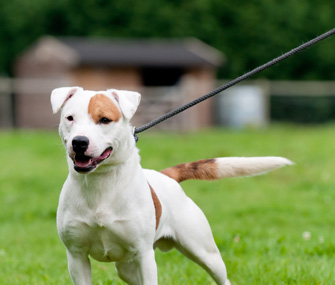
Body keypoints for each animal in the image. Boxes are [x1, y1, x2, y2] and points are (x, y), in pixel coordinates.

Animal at [51, 86, 292, 284]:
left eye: (104, 120)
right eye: (69, 118)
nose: (79, 142)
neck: (100, 183)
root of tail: (166, 175)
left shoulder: (144, 255)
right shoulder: (76, 257)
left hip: (205, 252)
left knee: (222, 277)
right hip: (126, 267)